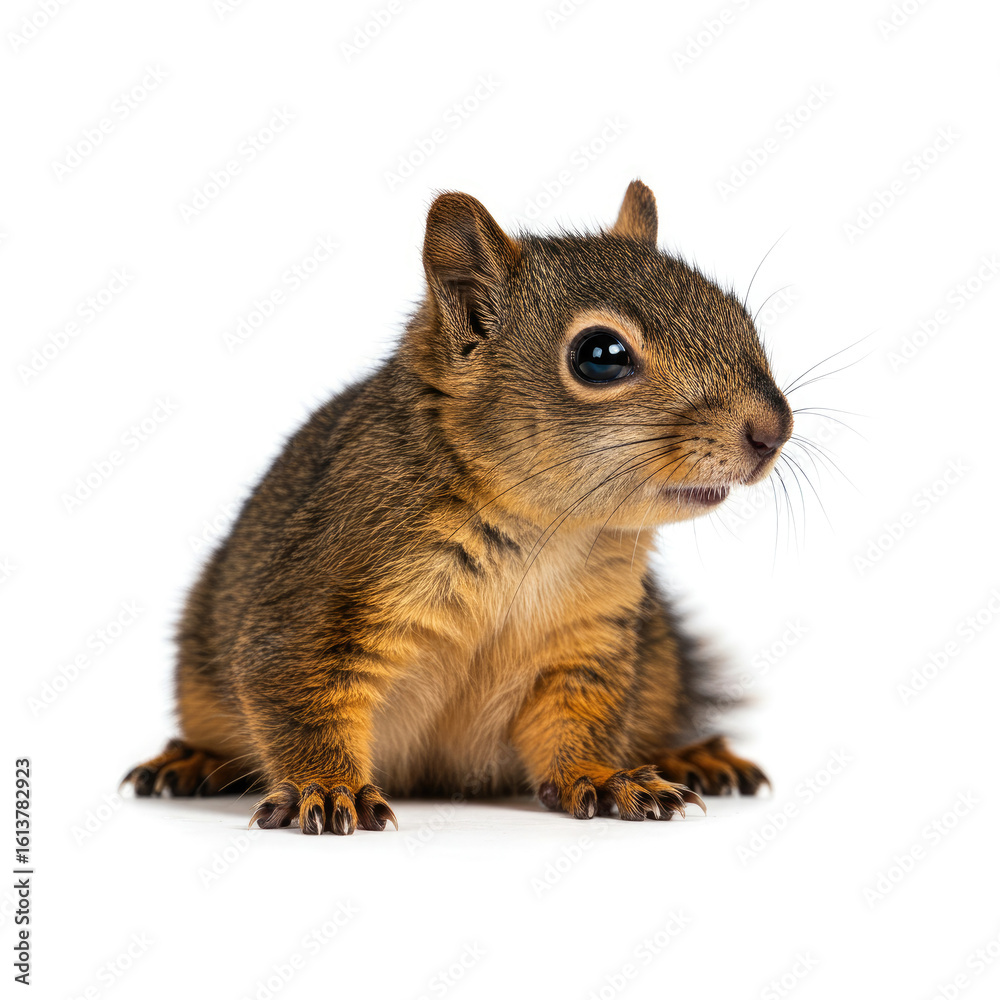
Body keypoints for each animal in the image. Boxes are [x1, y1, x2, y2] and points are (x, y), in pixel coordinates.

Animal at [122, 180, 791, 834]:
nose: (773, 430)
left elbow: (578, 725)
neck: (544, 528)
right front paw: (329, 788)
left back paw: (693, 756)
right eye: (600, 354)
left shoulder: (587, 643)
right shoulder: (319, 597)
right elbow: (295, 697)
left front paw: (604, 779)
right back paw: (192, 760)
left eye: (737, 314)